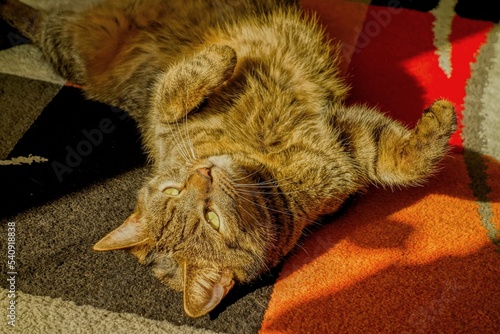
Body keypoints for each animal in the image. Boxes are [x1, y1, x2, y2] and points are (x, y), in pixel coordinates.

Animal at [0, 0, 458, 318]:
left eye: (177, 192)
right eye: (212, 219)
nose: (203, 173)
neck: (260, 159)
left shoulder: (345, 142)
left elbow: (402, 161)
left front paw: (435, 128)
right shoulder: (158, 114)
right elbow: (170, 88)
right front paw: (220, 57)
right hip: (67, 44)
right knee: (36, 21)